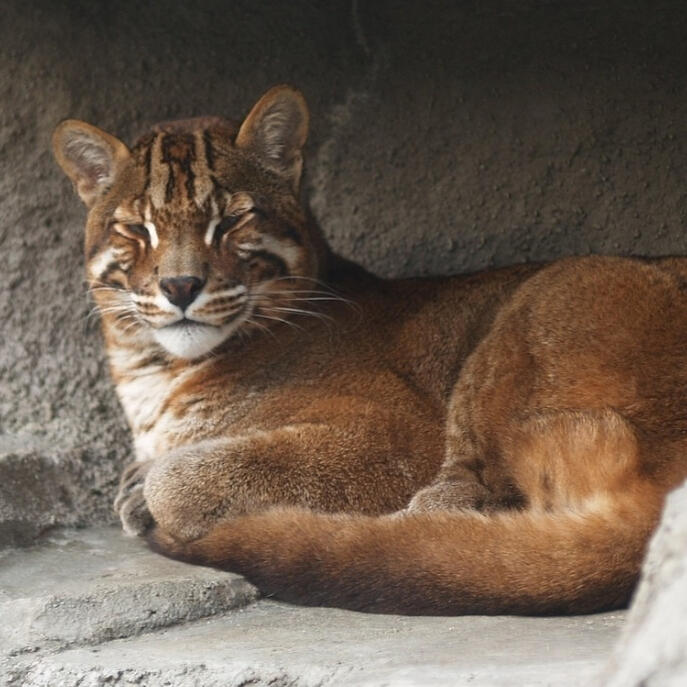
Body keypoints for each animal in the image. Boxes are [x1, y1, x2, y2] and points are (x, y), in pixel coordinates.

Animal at [52, 85, 687, 614]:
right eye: (136, 229)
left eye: (231, 221)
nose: (181, 286)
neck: (152, 369)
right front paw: (137, 484)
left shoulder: (391, 437)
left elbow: (178, 479)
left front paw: (153, 494)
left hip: (545, 296)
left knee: (441, 534)